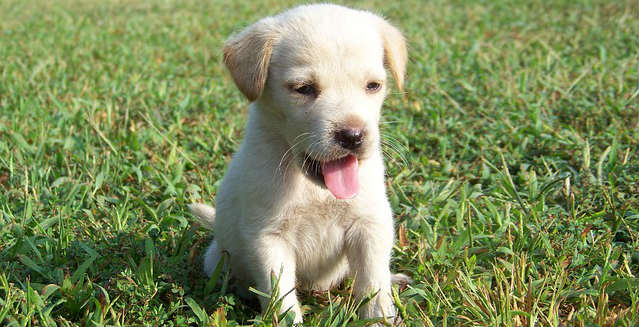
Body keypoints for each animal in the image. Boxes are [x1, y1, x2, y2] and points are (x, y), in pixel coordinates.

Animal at [190, 3, 410, 326]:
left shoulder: (370, 224)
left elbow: (373, 280)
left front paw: (379, 316)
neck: (314, 189)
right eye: (304, 88)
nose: (353, 136)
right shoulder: (267, 238)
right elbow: (279, 293)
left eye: (373, 86)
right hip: (217, 258)